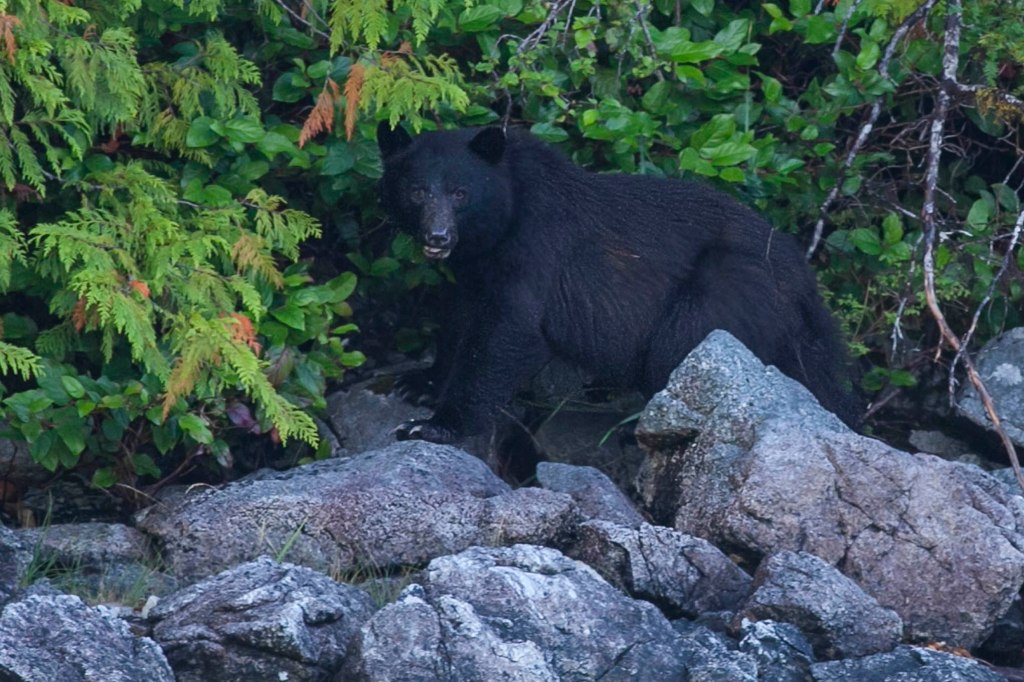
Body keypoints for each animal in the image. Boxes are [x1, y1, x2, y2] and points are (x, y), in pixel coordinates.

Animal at [377, 122, 859, 444]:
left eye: (460, 193)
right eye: (417, 191)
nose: (437, 237)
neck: (505, 215)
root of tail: (806, 284)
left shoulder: (536, 248)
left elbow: (508, 329)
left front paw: (436, 425)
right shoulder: (476, 266)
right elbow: (460, 314)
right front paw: (420, 382)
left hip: (726, 293)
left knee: (680, 351)